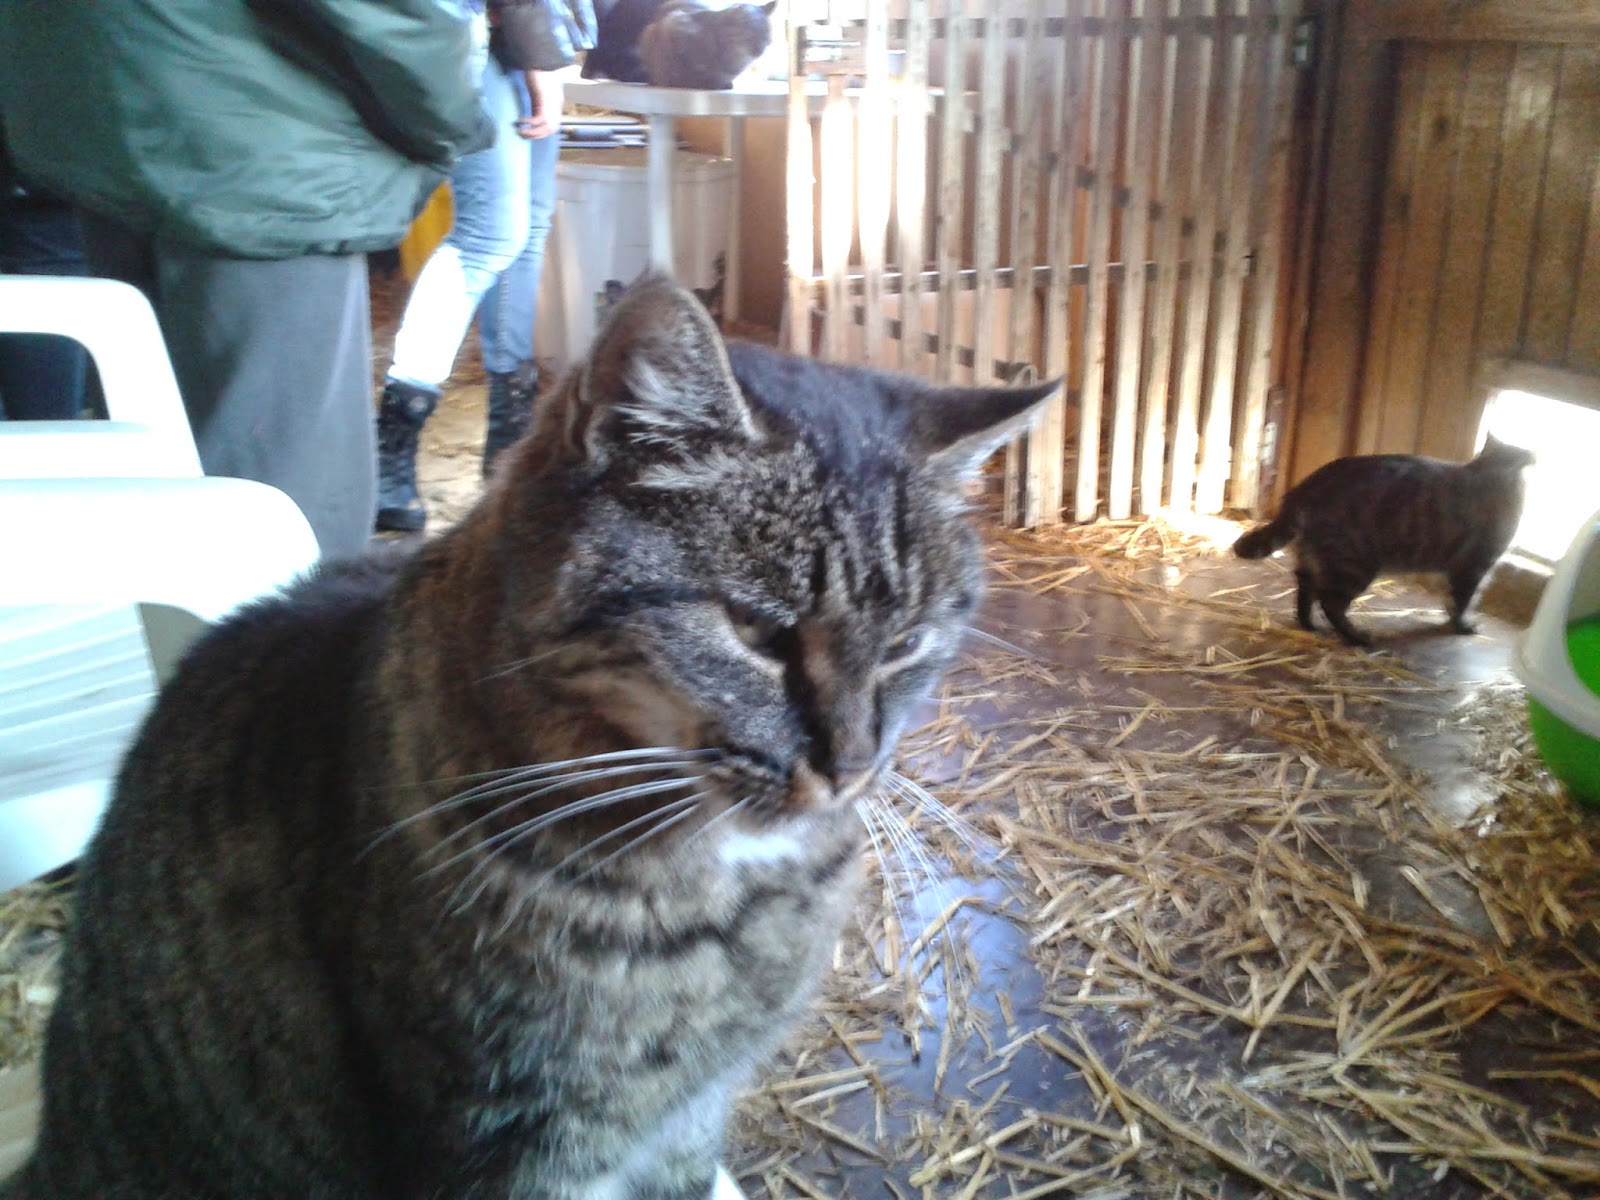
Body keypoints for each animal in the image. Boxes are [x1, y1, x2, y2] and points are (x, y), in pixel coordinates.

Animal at [1233, 434, 1535, 646]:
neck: (1488, 472)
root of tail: (1307, 487)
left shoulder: (1457, 569)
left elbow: (1453, 600)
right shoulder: (1473, 566)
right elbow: (1462, 601)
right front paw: (1463, 625)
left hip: (1316, 557)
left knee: (1305, 586)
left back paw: (1308, 623)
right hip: (1355, 566)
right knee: (1330, 602)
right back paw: (1356, 637)